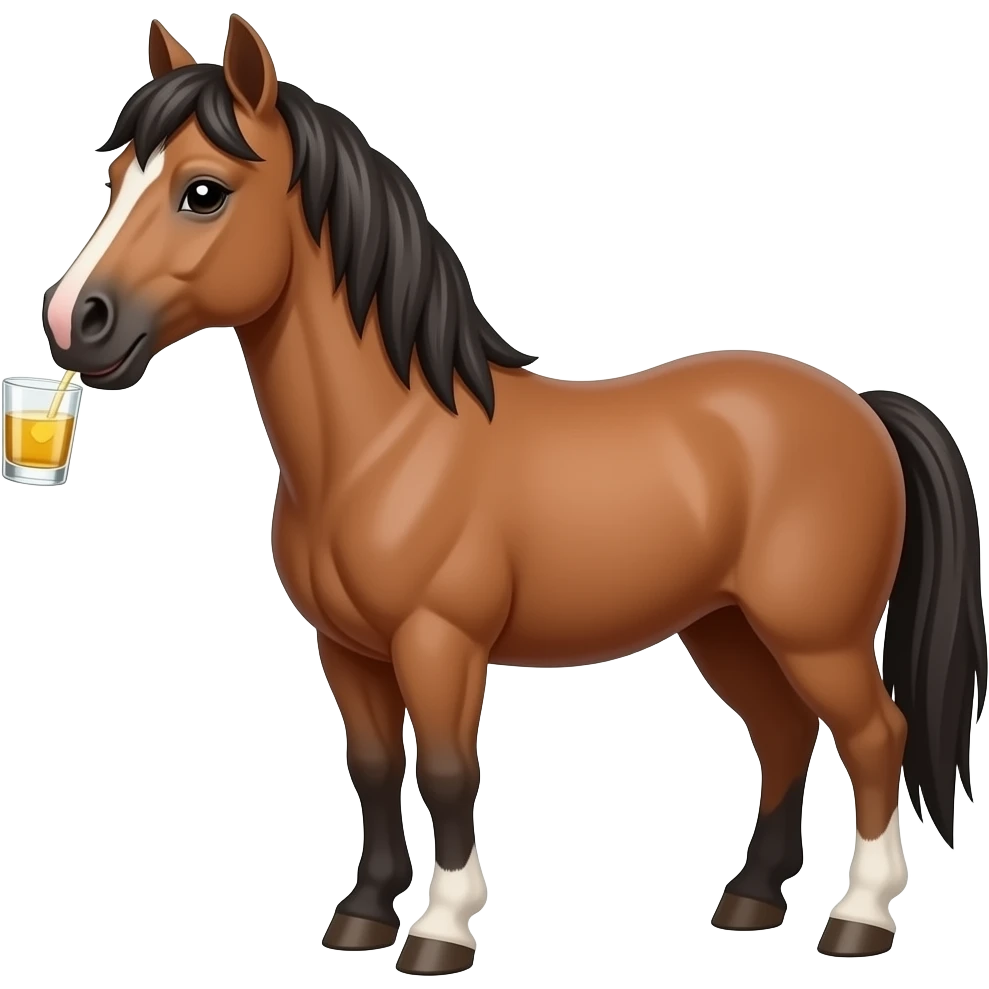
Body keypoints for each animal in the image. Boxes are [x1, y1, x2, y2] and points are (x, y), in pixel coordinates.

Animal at [40, 15, 986, 973]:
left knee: (874, 736)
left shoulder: (439, 641)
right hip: (727, 629)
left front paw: (439, 929)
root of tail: (861, 406)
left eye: (203, 191)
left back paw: (859, 918)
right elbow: (374, 768)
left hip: (815, 634)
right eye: (116, 179)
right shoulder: (346, 650)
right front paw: (363, 913)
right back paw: (751, 899)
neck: (388, 443)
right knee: (786, 732)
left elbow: (449, 772)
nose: (74, 321)